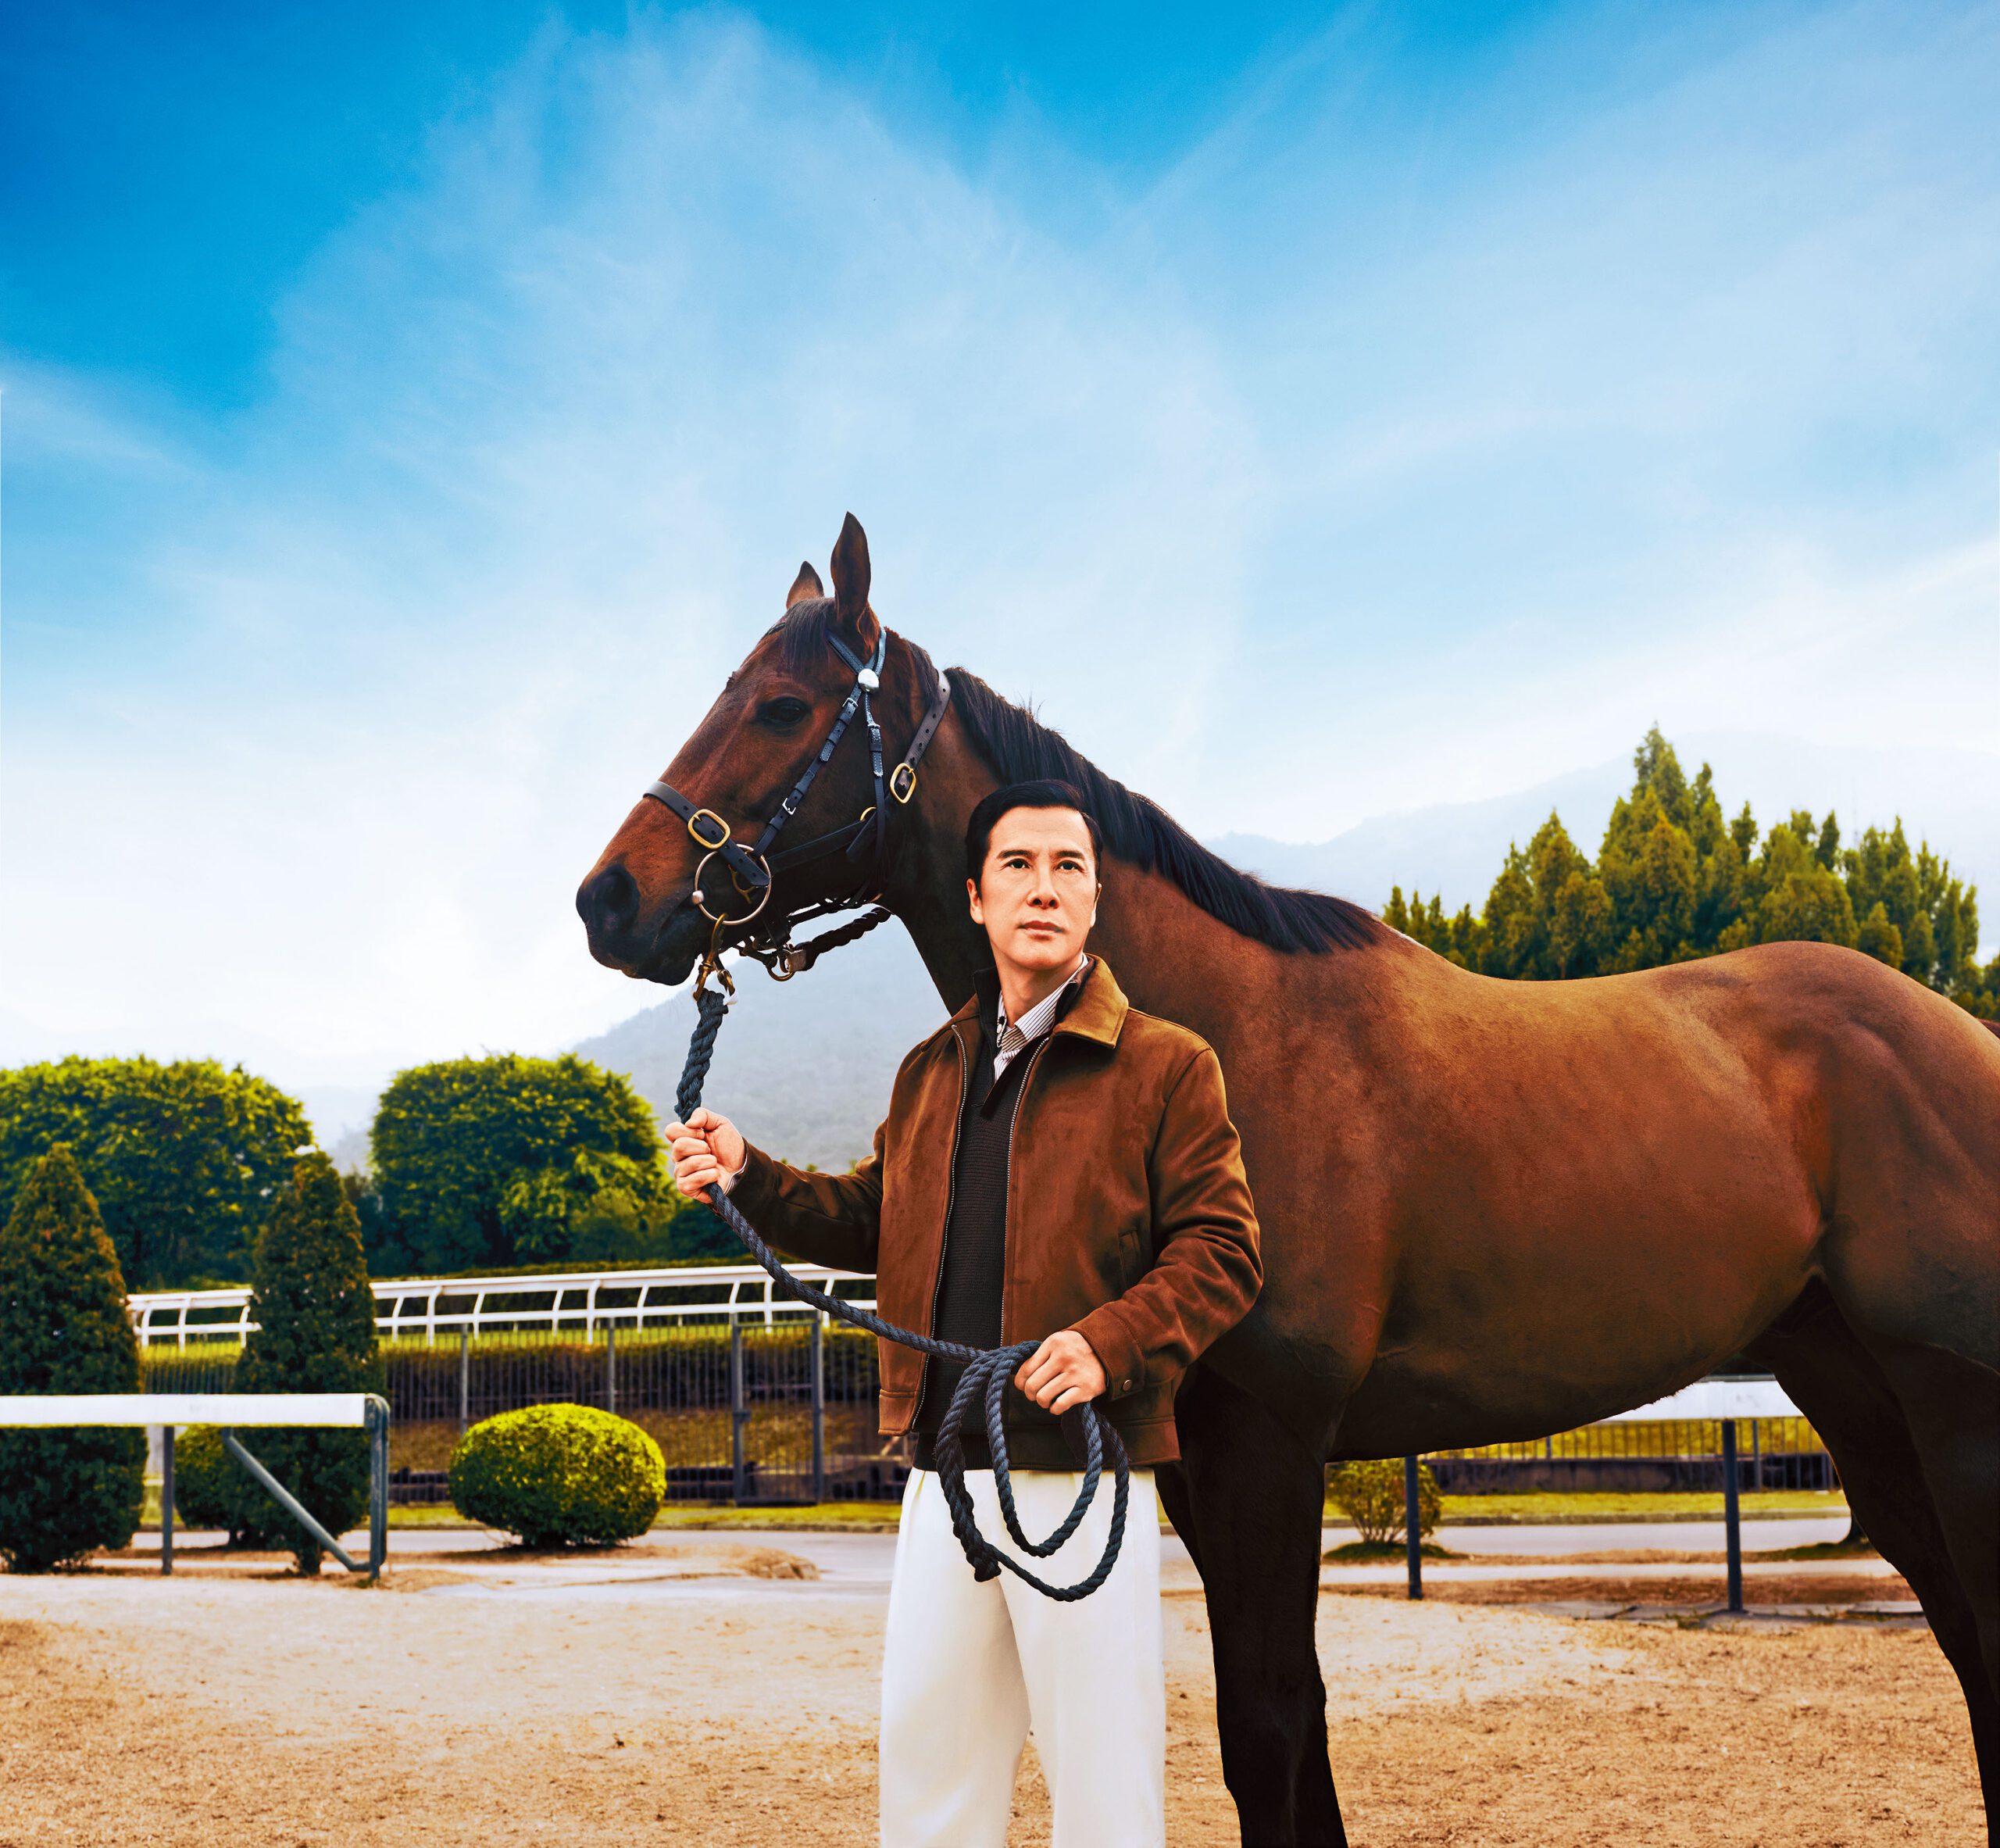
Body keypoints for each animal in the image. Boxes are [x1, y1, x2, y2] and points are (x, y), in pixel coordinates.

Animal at [577, 516, 1999, 1844]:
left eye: (780, 705)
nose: (607, 901)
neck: (1226, 1038)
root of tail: (1956, 1035)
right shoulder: (1198, 1460)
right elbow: (1287, 1731)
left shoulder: (1269, 1443)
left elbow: (1267, 1727)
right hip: (1852, 1388)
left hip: (1949, 1398)